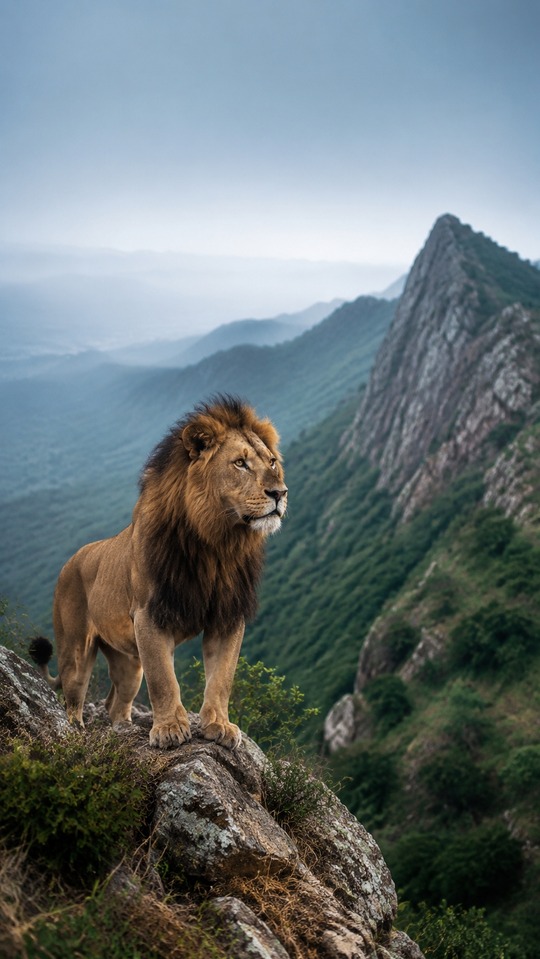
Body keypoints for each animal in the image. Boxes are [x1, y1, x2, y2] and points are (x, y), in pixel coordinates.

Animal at [29, 395, 287, 749]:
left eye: (272, 462)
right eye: (240, 463)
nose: (280, 493)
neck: (216, 544)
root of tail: (70, 562)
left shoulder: (227, 616)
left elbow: (221, 678)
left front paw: (219, 725)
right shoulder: (149, 615)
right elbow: (164, 679)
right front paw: (169, 729)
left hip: (128, 663)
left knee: (114, 703)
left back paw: (123, 729)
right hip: (76, 651)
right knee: (73, 699)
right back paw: (78, 734)